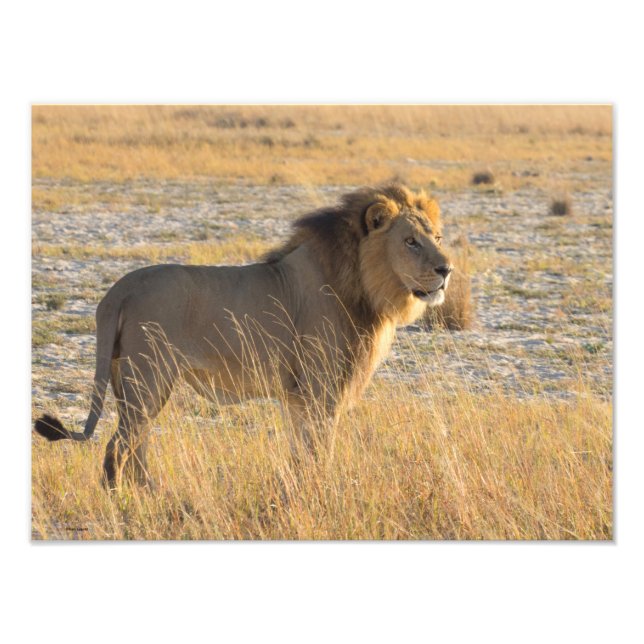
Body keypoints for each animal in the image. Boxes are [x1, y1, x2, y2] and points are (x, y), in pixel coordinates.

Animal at [34, 183, 452, 487]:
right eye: (410, 241)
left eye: (437, 237)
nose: (446, 269)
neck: (363, 286)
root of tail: (118, 290)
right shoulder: (320, 389)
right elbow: (320, 449)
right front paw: (325, 488)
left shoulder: (298, 395)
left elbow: (301, 452)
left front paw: (300, 486)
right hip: (149, 378)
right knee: (118, 449)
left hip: (127, 380)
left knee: (134, 446)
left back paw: (151, 493)